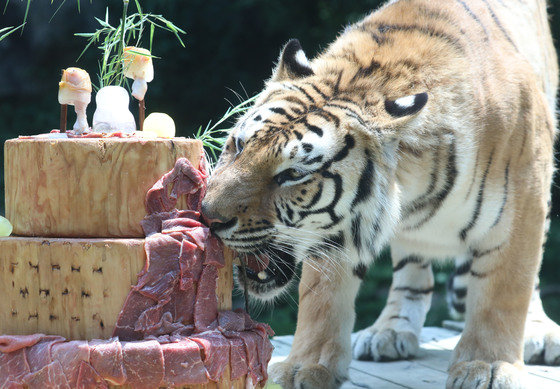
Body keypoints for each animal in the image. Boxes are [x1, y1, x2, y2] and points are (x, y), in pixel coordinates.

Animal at [203, 0, 556, 386]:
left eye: (293, 174)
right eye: (239, 145)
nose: (208, 215)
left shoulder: (523, 201)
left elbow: (503, 292)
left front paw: (488, 365)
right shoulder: (335, 229)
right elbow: (320, 298)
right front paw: (305, 366)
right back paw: (389, 331)